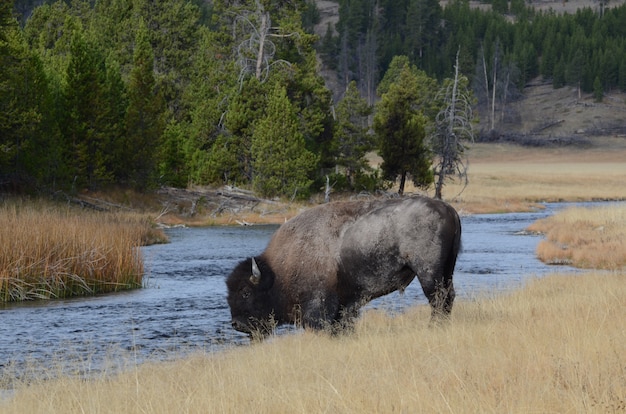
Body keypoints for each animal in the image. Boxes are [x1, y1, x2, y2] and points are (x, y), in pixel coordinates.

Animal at [224, 196, 458, 336]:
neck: (278, 271)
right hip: (447, 269)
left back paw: (433, 327)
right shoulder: (344, 306)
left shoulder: (319, 307)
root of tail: (447, 209)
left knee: (437, 299)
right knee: (447, 297)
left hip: (428, 272)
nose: (236, 324)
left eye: (245, 292)